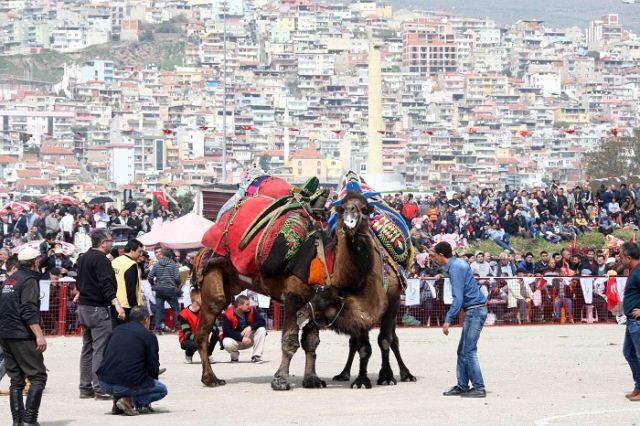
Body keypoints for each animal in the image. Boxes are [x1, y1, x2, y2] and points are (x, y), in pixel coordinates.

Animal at [296, 193, 416, 390]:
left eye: (364, 209)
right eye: (342, 208)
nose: (350, 213)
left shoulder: (392, 300)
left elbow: (384, 340)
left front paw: (386, 377)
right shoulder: (358, 308)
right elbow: (363, 347)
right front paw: (361, 380)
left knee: (393, 339)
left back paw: (406, 374)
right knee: (354, 342)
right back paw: (343, 374)